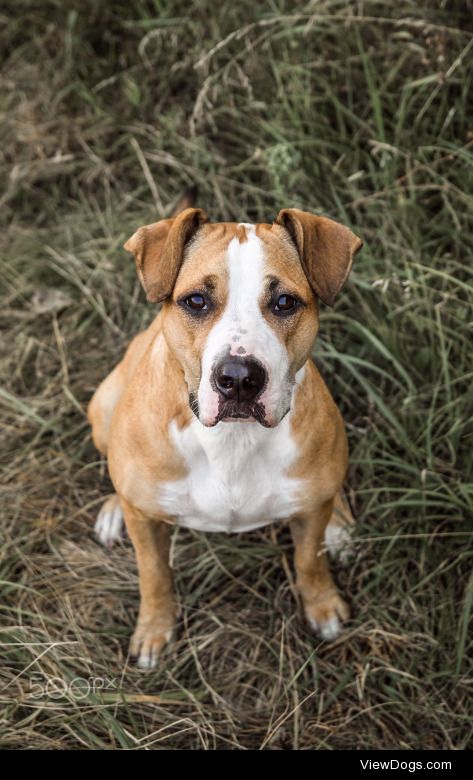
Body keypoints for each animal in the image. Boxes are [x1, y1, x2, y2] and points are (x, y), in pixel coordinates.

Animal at [88, 197, 362, 672]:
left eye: (285, 302)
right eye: (196, 300)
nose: (238, 379)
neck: (233, 440)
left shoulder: (308, 512)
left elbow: (308, 560)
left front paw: (323, 605)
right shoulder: (148, 528)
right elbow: (153, 574)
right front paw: (154, 630)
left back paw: (340, 524)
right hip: (103, 407)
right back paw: (113, 510)